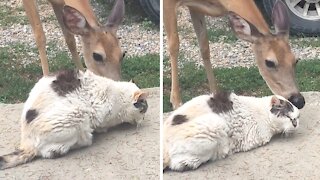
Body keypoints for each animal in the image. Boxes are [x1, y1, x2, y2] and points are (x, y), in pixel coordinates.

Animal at [0, 69, 148, 169]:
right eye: (144, 110)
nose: (143, 119)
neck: (118, 96)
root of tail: (26, 142)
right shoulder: (98, 112)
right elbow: (101, 124)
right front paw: (103, 129)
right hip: (78, 117)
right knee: (52, 152)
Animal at [164, 0, 306, 109]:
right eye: (269, 62)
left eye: (295, 60)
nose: (298, 101)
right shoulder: (169, 3)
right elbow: (174, 44)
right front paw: (176, 102)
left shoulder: (195, 7)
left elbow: (204, 47)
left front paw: (215, 95)